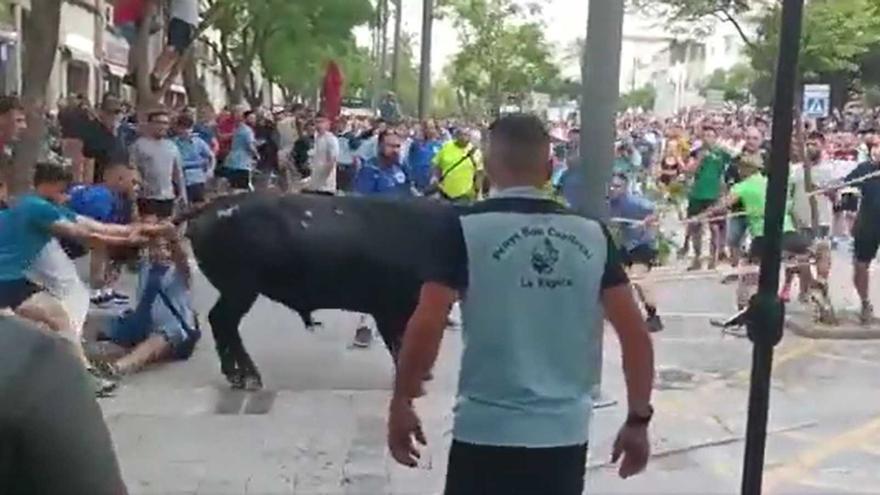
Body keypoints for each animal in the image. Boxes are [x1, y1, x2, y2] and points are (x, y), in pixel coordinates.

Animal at [180, 192, 454, 390]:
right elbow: (399, 344)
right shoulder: (389, 310)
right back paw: (247, 377)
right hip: (240, 289)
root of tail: (208, 209)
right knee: (222, 321)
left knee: (223, 324)